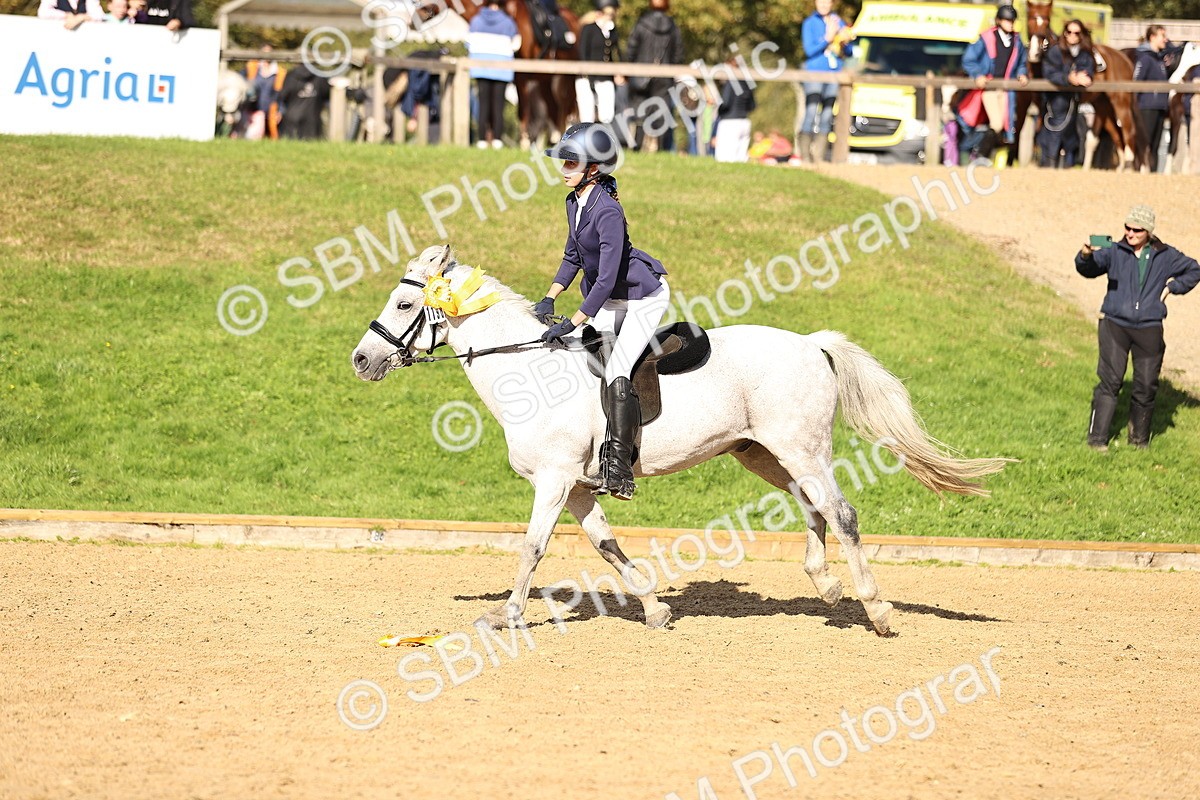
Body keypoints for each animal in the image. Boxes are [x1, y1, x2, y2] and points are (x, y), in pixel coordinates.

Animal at [351, 245, 1011, 637]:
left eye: (405, 303)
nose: (361, 359)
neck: (527, 372)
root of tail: (810, 343)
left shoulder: (555, 481)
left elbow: (532, 548)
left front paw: (508, 615)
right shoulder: (578, 488)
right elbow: (608, 548)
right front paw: (656, 608)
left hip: (799, 447)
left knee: (841, 512)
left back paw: (876, 609)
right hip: (764, 454)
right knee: (813, 505)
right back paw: (824, 584)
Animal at [1025, 0, 1143, 170]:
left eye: (1046, 21)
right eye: (1029, 20)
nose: (1035, 52)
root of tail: (1124, 59)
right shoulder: (1040, 104)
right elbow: (1039, 131)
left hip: (1121, 102)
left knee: (1129, 131)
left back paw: (1127, 166)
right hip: (1103, 105)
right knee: (1116, 134)